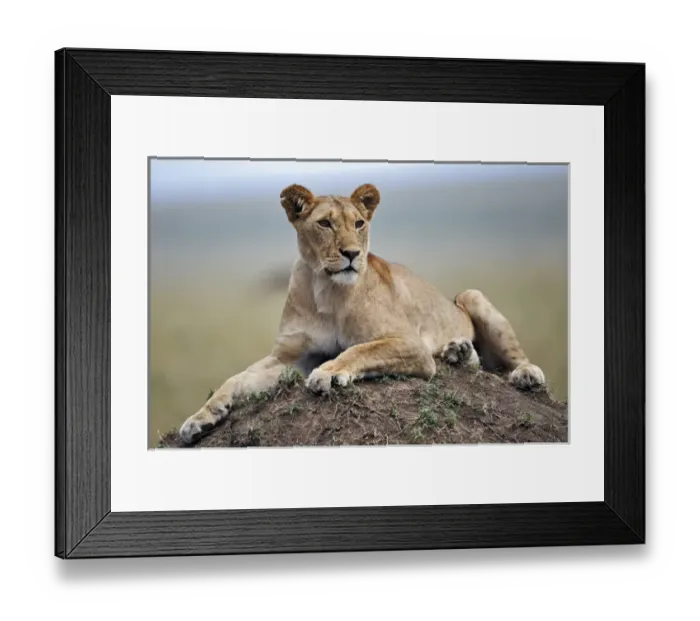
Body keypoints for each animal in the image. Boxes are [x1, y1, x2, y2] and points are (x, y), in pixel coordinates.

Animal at [179, 183, 546, 444]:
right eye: (325, 224)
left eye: (358, 224)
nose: (352, 254)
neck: (325, 290)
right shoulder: (287, 358)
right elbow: (236, 379)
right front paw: (199, 419)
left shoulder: (410, 344)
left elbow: (360, 350)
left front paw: (329, 373)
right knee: (476, 361)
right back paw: (459, 352)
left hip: (472, 296)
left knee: (513, 359)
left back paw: (524, 374)